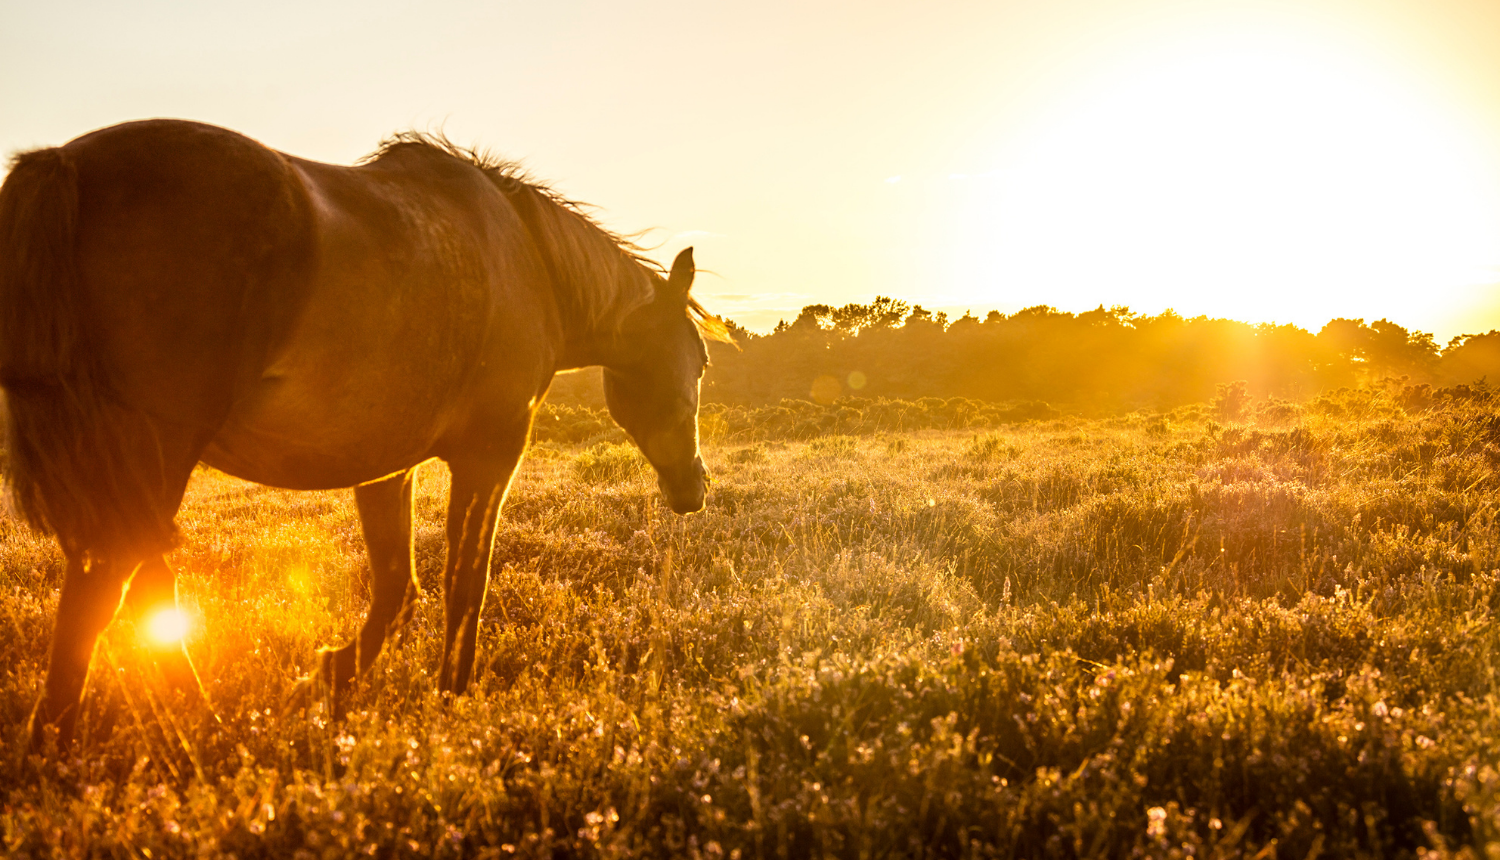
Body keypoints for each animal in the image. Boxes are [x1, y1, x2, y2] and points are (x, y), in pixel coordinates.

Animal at [0, 117, 726, 747]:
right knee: (108, 587)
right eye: (699, 361)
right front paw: (451, 693)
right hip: (151, 453)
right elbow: (466, 582)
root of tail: (68, 163)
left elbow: (397, 587)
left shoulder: (387, 467)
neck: (527, 258)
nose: (695, 487)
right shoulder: (491, 454)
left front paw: (330, 672)